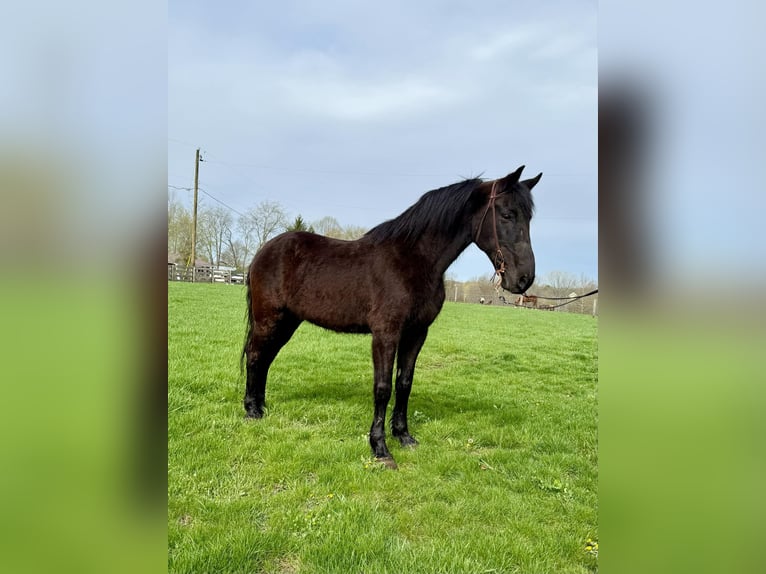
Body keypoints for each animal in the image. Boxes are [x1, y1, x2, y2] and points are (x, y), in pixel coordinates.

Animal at [242, 165, 541, 468]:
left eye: (528, 217)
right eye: (507, 214)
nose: (524, 279)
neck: (413, 260)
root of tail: (263, 251)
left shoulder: (417, 333)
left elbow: (404, 383)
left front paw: (404, 436)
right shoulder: (386, 333)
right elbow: (383, 387)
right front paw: (380, 448)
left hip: (287, 322)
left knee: (266, 359)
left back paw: (261, 406)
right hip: (269, 319)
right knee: (255, 355)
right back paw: (251, 411)